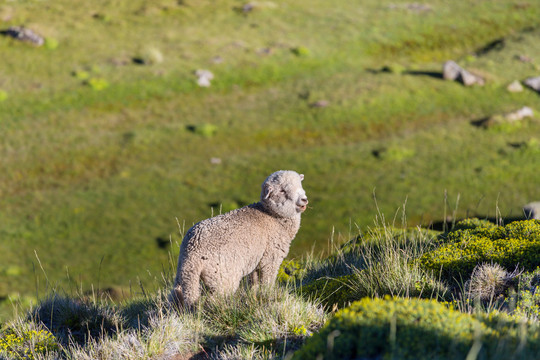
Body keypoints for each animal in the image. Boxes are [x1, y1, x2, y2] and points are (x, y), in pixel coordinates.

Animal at [173, 170, 308, 308]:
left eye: (300, 184)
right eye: (282, 191)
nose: (304, 200)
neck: (272, 217)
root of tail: (192, 256)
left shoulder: (256, 260)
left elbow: (253, 283)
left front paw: (253, 299)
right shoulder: (271, 258)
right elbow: (267, 283)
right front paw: (268, 297)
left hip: (183, 275)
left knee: (176, 295)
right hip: (223, 277)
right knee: (212, 301)